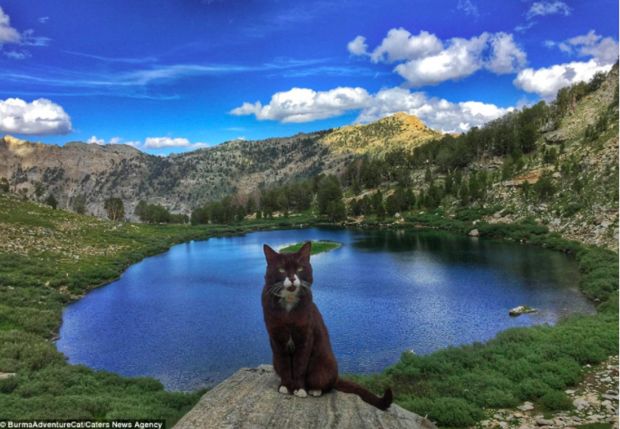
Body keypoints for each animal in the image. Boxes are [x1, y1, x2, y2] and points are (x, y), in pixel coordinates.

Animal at [262, 239, 392, 410]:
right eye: (281, 269)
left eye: (300, 268)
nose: (292, 278)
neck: (289, 306)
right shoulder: (276, 336)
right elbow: (284, 363)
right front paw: (284, 386)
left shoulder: (306, 335)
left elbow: (300, 364)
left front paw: (299, 389)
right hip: (274, 361)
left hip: (325, 364)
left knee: (326, 384)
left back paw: (314, 390)